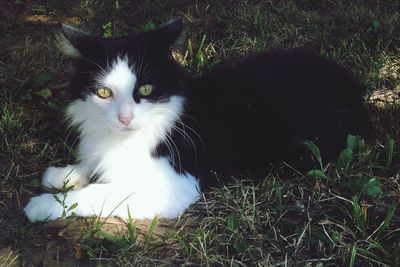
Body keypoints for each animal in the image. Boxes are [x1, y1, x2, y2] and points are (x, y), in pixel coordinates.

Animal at [22, 19, 372, 223]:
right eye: (104, 92)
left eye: (145, 89)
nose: (125, 118)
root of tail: (350, 82)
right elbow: (93, 165)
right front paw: (64, 174)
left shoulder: (174, 187)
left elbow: (98, 193)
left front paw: (44, 205)